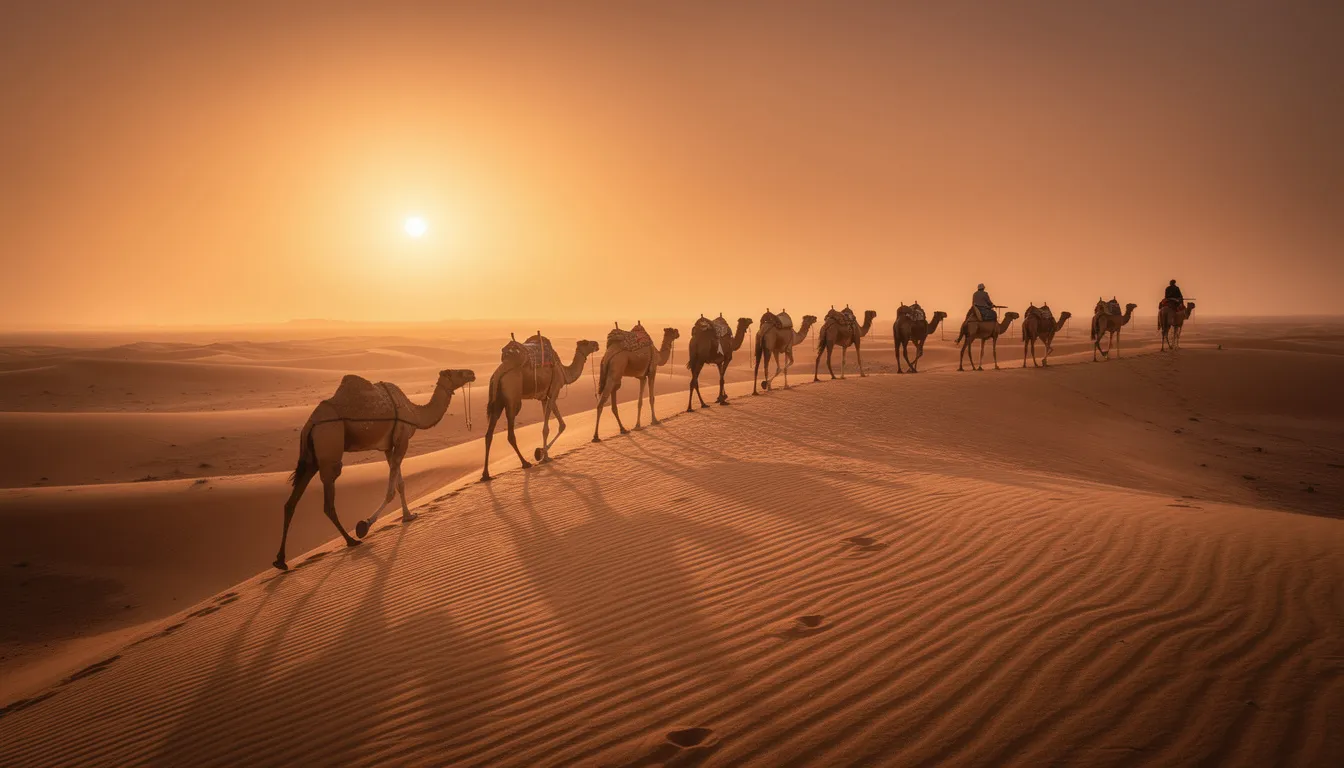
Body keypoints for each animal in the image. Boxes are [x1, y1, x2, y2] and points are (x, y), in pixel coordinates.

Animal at [275, 368, 475, 570]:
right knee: (328, 501)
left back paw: (281, 561)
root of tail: (310, 425)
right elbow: (391, 490)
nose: (472, 373)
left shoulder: (389, 446)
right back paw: (351, 540)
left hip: (311, 458)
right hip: (329, 443)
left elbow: (400, 484)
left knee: (291, 503)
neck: (414, 412)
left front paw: (408, 516)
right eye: (457, 372)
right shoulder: (402, 439)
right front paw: (365, 525)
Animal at [481, 336, 600, 482]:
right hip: (512, 396)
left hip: (497, 400)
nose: (597, 344)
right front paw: (542, 456)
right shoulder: (554, 391)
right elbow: (547, 428)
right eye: (587, 342)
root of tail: (498, 372)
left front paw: (544, 454)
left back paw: (486, 475)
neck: (563, 372)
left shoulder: (545, 397)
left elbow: (560, 425)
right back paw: (525, 463)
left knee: (489, 434)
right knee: (510, 433)